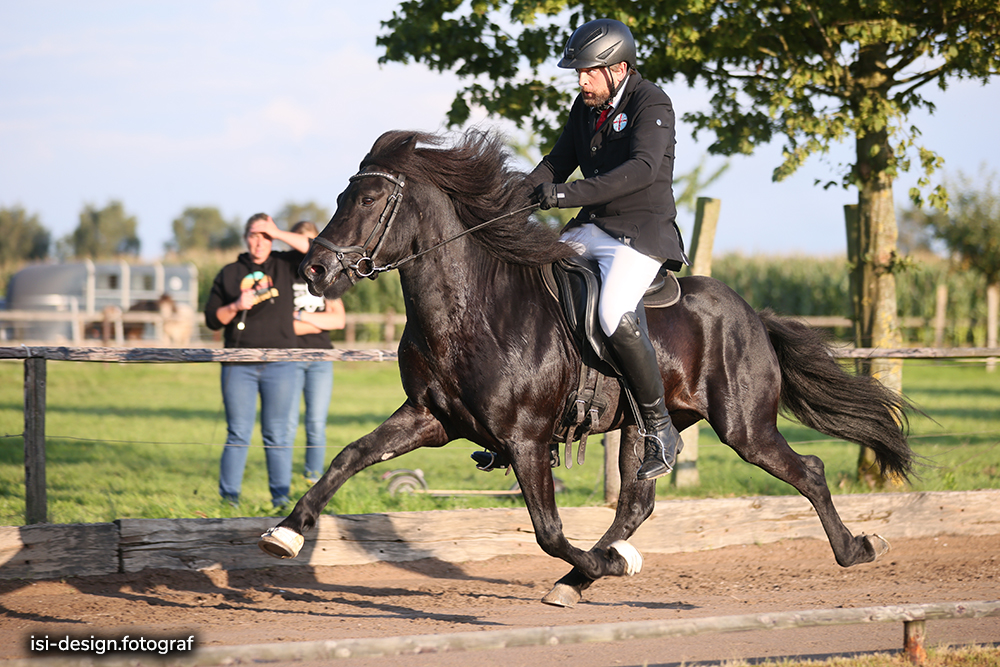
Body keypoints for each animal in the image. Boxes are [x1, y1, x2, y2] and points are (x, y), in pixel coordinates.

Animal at [260, 128, 916, 608]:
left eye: (370, 201)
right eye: (342, 198)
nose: (315, 270)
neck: (472, 309)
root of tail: (752, 313)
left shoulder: (526, 439)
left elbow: (549, 531)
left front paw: (608, 565)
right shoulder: (429, 418)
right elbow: (350, 456)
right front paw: (286, 531)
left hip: (744, 428)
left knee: (808, 470)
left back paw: (858, 548)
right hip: (644, 427)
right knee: (636, 504)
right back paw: (585, 578)